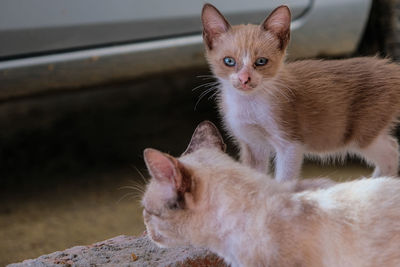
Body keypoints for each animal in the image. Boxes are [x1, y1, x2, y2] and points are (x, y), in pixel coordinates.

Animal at [202, 3, 400, 181]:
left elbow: (285, 181)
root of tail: (390, 66)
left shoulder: (290, 143)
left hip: (361, 133)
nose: (244, 79)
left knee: (392, 152)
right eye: (229, 61)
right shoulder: (252, 145)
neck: (250, 103)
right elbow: (255, 178)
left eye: (261, 61)